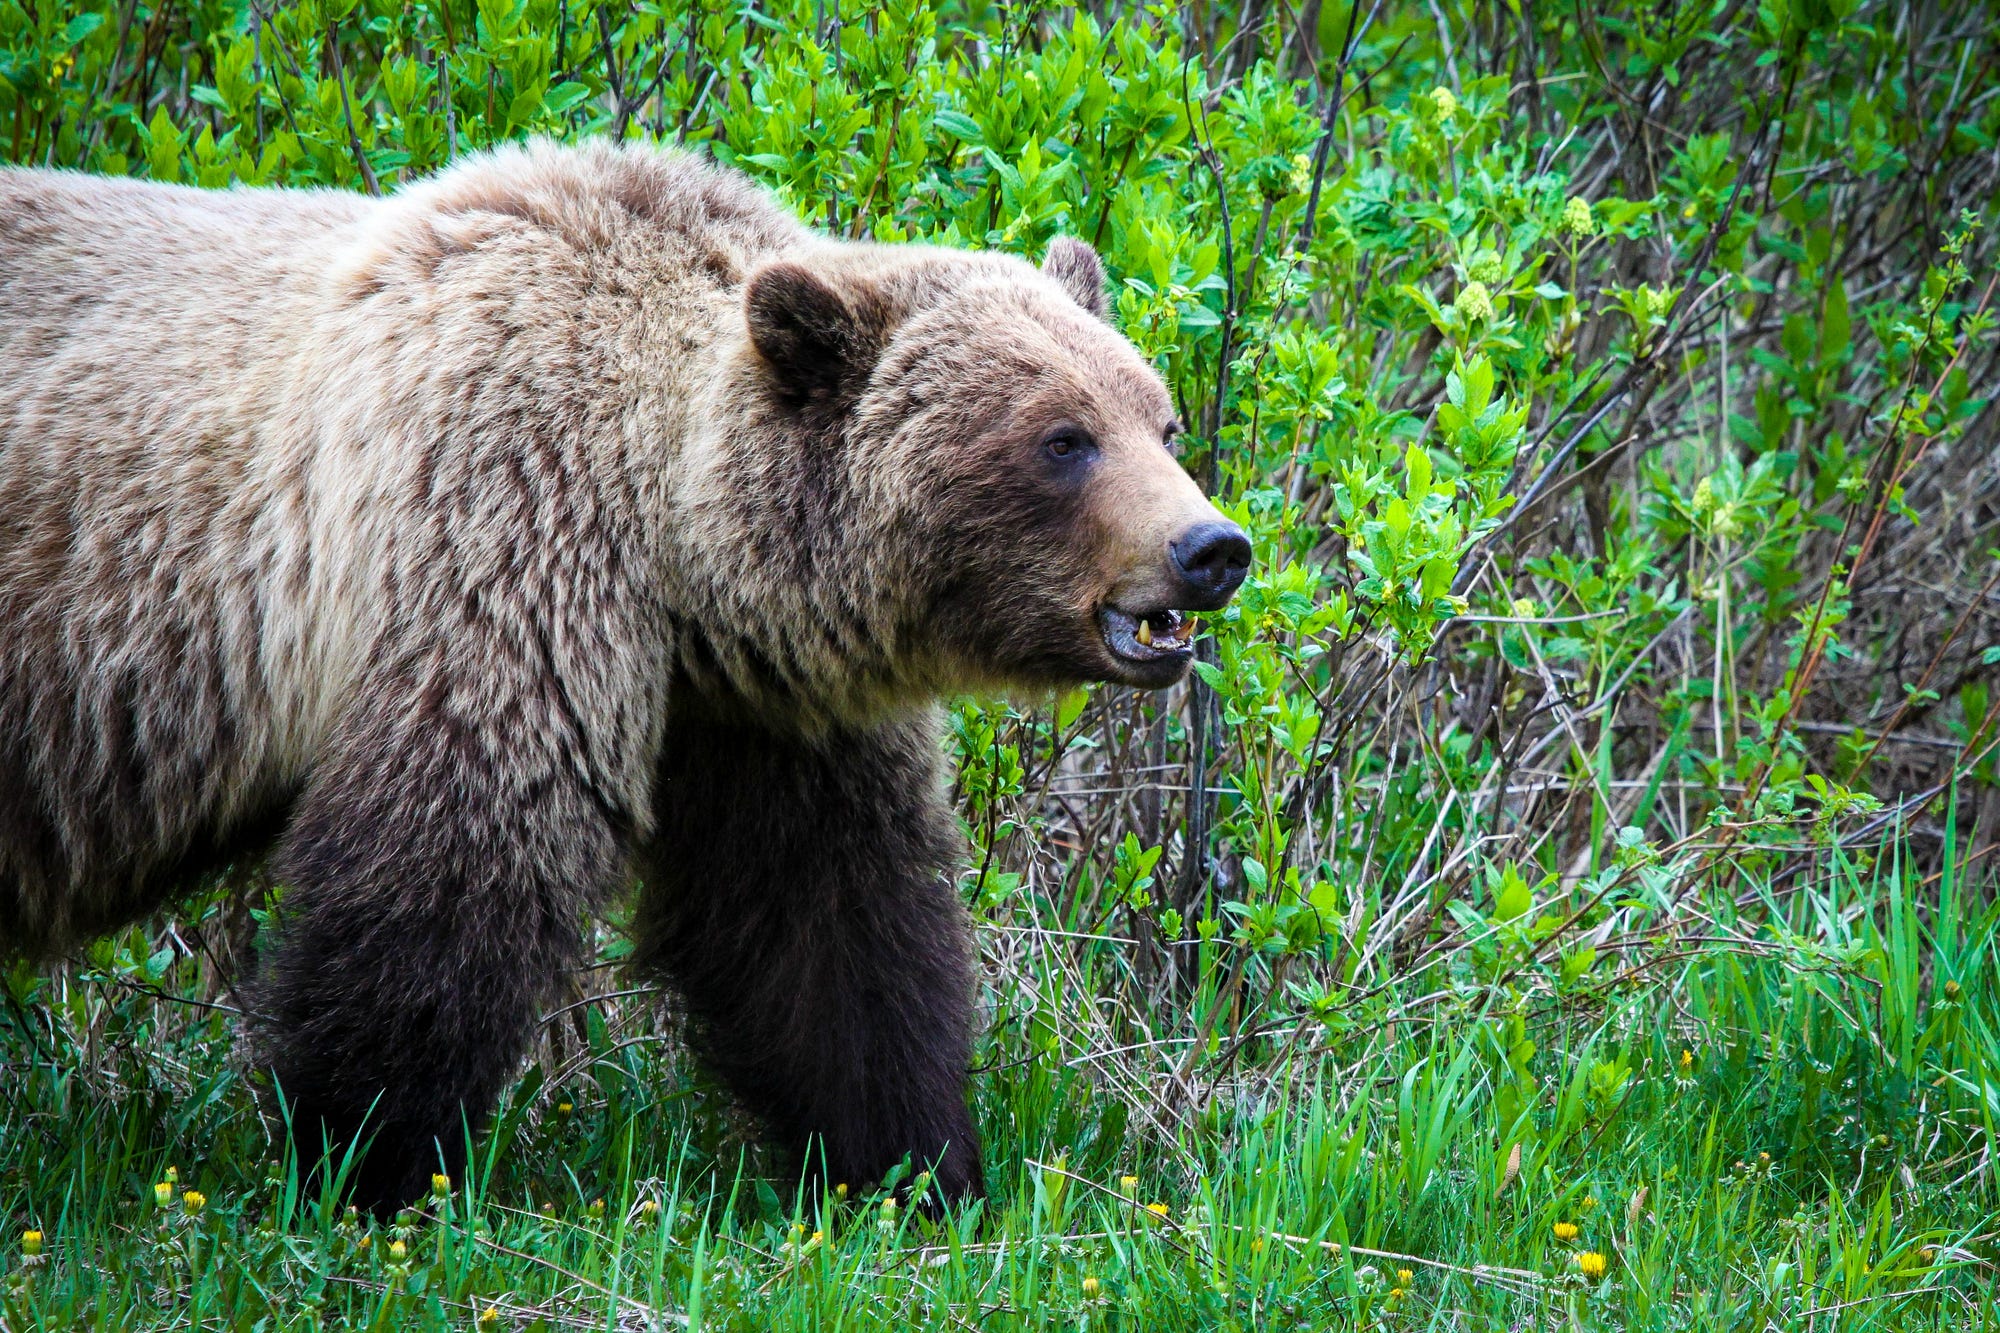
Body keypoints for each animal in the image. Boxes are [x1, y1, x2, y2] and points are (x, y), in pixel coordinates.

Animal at [0, 140, 1251, 1212]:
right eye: (1060, 438)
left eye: (1158, 419)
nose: (1210, 547)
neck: (670, 540)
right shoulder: (498, 546)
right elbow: (450, 869)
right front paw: (365, 1160)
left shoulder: (758, 707)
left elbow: (829, 919)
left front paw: (908, 1166)